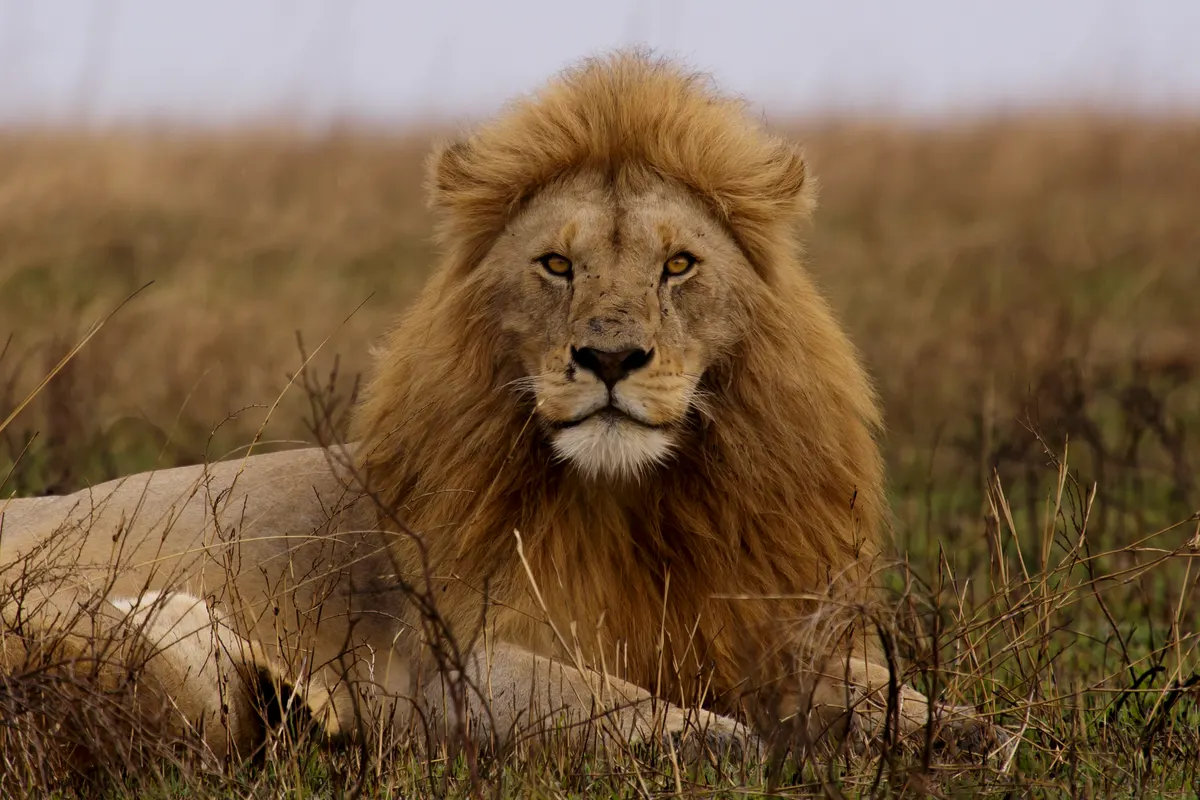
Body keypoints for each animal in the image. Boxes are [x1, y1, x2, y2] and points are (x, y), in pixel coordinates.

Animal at [0, 51, 997, 771]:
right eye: (556, 265)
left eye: (678, 265)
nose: (608, 358)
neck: (631, 513)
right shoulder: (434, 659)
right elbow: (591, 698)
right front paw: (705, 736)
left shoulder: (739, 627)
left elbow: (861, 679)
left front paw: (956, 724)